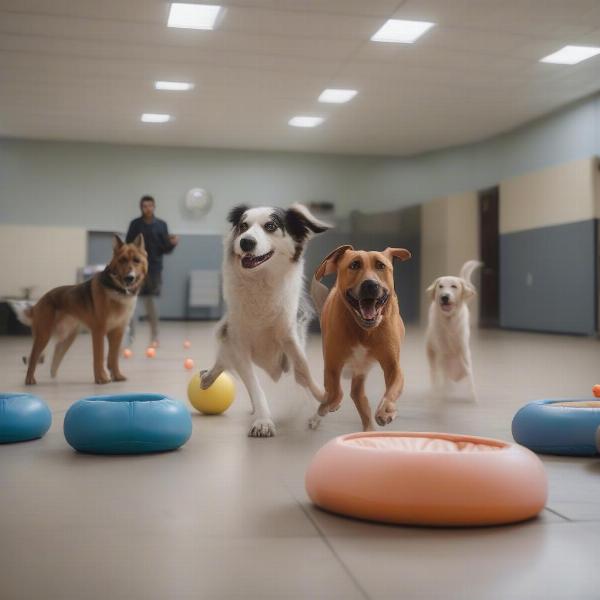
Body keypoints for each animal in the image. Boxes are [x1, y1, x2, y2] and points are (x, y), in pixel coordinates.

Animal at [17, 234, 148, 384]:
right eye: (122, 260)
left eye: (136, 260)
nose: (129, 277)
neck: (118, 290)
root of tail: (40, 301)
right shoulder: (99, 331)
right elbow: (99, 357)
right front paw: (101, 378)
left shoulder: (118, 332)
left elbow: (113, 358)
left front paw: (116, 375)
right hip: (44, 335)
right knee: (33, 357)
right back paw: (30, 379)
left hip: (67, 337)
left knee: (56, 351)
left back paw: (53, 374)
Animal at [202, 202, 332, 436]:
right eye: (243, 226)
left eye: (270, 226)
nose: (245, 241)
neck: (260, 279)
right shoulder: (238, 343)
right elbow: (254, 386)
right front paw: (263, 421)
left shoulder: (288, 335)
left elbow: (303, 368)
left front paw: (321, 400)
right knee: (224, 360)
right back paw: (207, 378)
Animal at [310, 244, 412, 432]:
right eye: (354, 265)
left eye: (380, 265)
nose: (370, 284)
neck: (363, 331)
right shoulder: (332, 364)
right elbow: (335, 392)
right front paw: (328, 406)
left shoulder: (393, 366)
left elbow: (392, 389)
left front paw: (386, 411)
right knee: (342, 393)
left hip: (361, 370)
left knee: (357, 395)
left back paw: (369, 428)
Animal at [424, 260, 480, 400]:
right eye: (440, 286)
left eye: (454, 286)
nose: (444, 297)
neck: (449, 321)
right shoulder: (442, 352)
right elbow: (442, 376)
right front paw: (441, 393)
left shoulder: (463, 350)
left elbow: (469, 375)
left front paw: (472, 396)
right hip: (431, 354)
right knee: (435, 374)